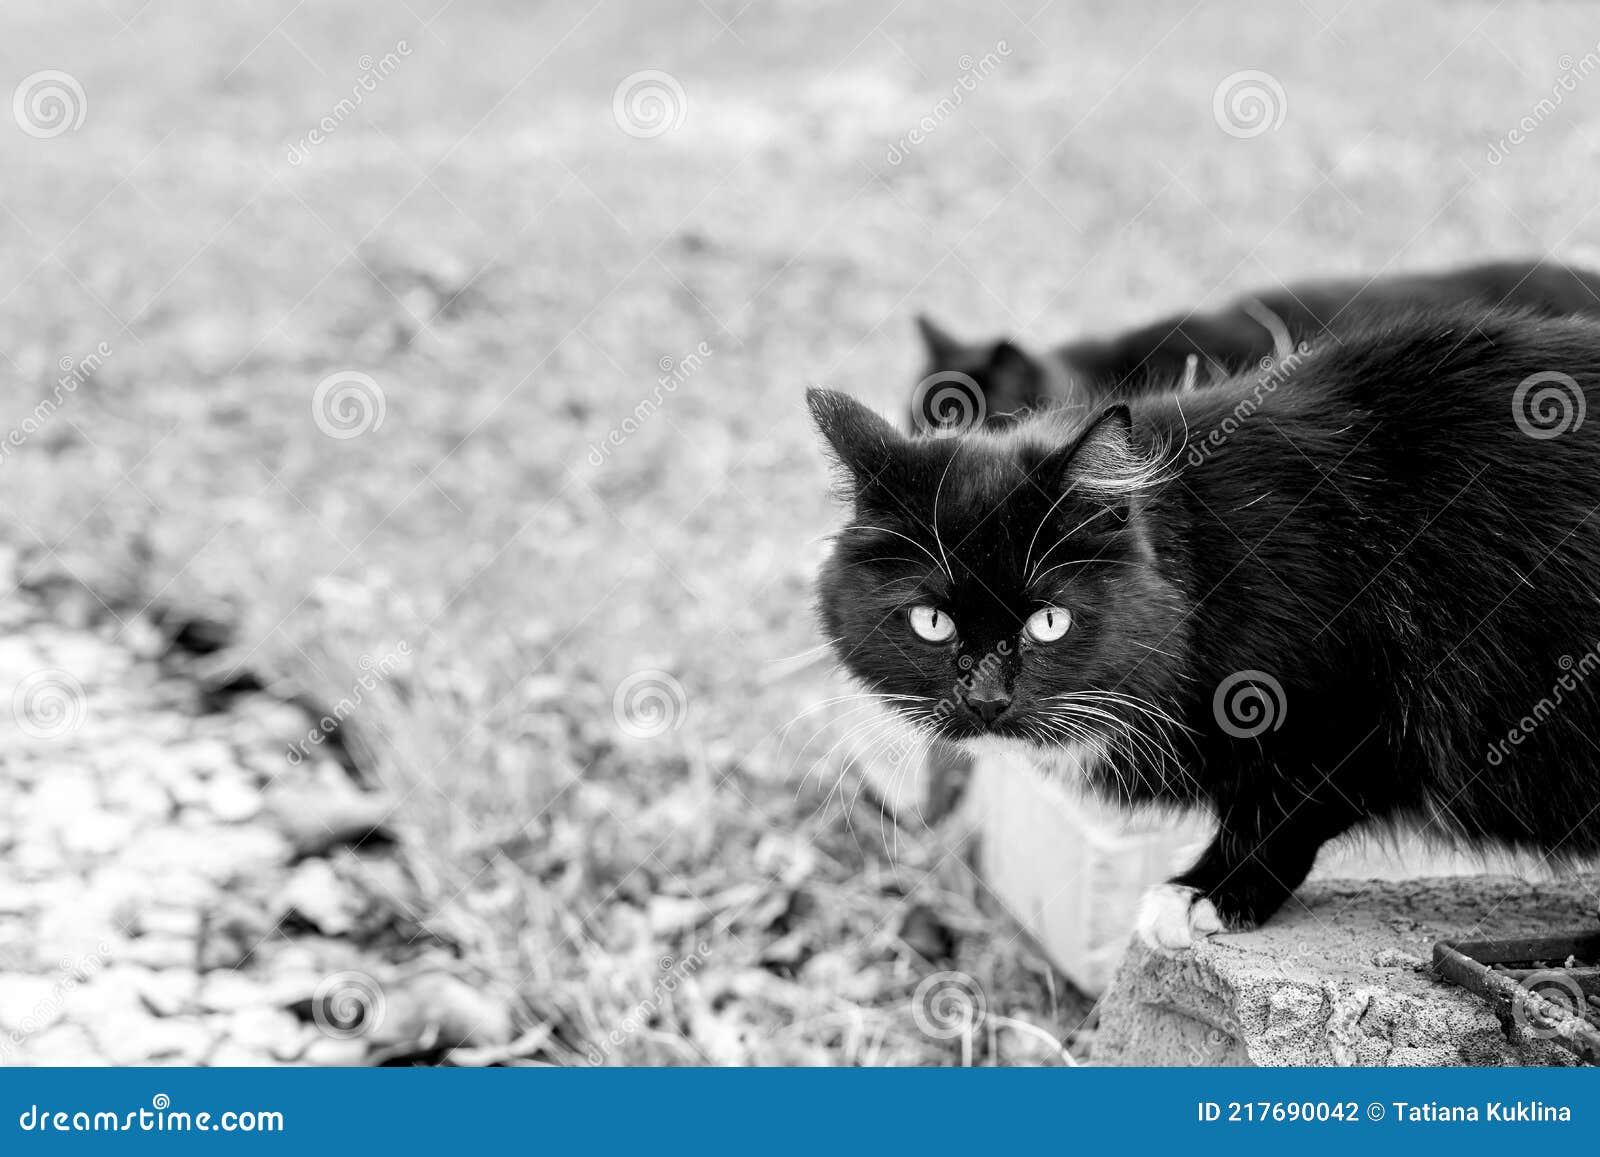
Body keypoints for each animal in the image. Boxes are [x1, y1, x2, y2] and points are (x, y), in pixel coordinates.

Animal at [819, 302, 1600, 947]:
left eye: (1049, 620)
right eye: (931, 620)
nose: (986, 699)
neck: (1211, 559)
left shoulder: (1358, 703)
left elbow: (1291, 802)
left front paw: (1207, 892)